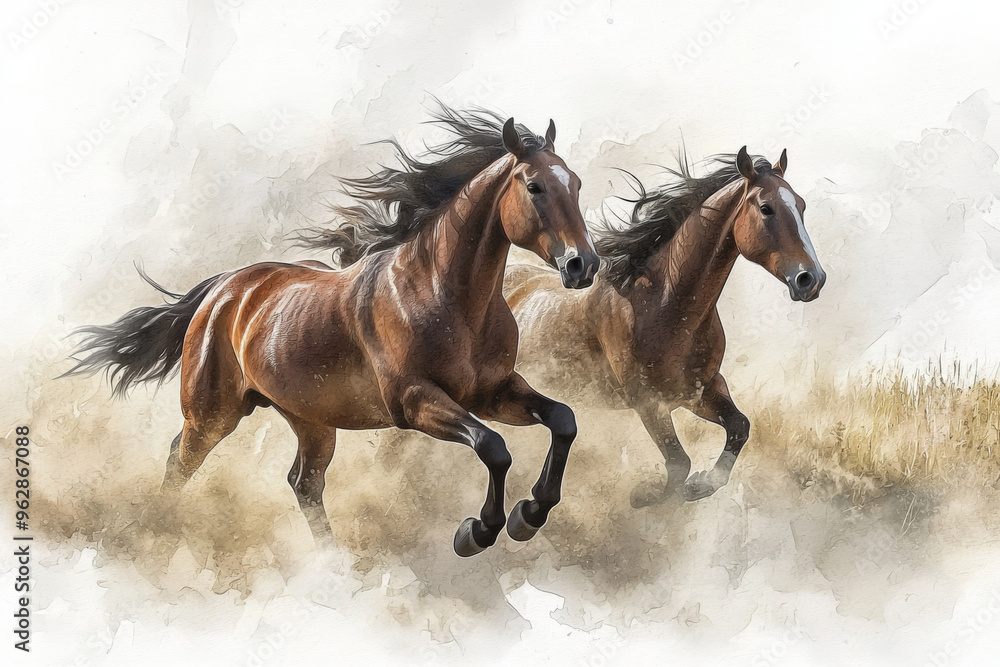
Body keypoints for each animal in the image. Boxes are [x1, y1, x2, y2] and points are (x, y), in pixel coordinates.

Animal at [63, 106, 600, 556]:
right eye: (534, 186)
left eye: (575, 183)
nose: (584, 265)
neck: (444, 294)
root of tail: (224, 288)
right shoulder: (415, 402)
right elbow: (494, 448)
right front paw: (479, 531)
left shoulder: (492, 392)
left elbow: (564, 420)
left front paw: (529, 513)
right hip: (211, 415)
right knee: (180, 461)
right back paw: (159, 530)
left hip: (311, 419)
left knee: (304, 483)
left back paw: (332, 563)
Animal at [504, 147, 825, 508]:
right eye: (767, 208)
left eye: (801, 206)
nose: (811, 279)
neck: (667, 308)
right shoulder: (648, 402)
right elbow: (678, 462)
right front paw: (645, 496)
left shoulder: (700, 391)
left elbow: (739, 427)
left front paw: (701, 485)